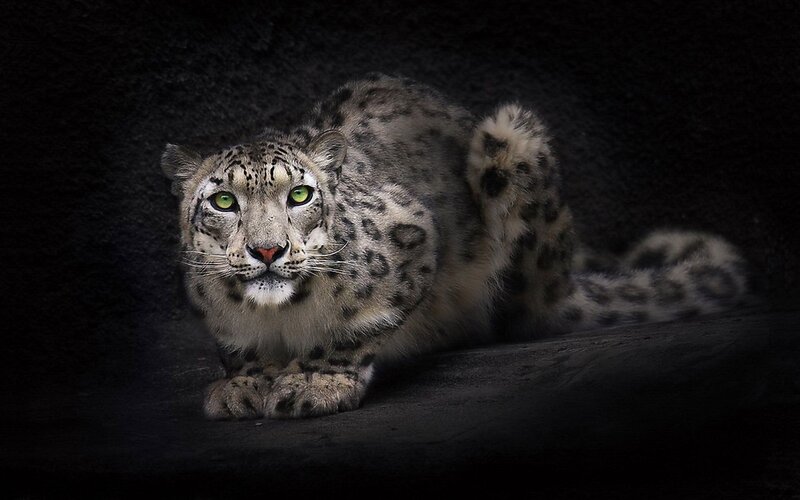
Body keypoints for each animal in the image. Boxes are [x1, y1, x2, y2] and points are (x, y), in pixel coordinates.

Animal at [161, 73, 750, 420]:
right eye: (223, 202)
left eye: (300, 193)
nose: (268, 251)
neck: (279, 318)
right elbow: (238, 348)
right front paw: (244, 385)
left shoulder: (412, 236)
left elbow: (356, 328)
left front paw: (313, 381)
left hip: (512, 143)